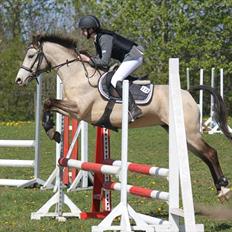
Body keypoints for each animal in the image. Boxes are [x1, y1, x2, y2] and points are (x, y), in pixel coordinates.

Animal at [15, 34, 231, 201]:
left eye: (31, 55)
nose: (19, 80)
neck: (78, 75)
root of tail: (186, 92)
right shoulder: (72, 110)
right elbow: (48, 104)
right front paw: (54, 132)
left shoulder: (79, 110)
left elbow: (48, 102)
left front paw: (53, 132)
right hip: (180, 133)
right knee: (204, 156)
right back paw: (220, 188)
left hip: (190, 132)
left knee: (211, 153)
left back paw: (224, 188)